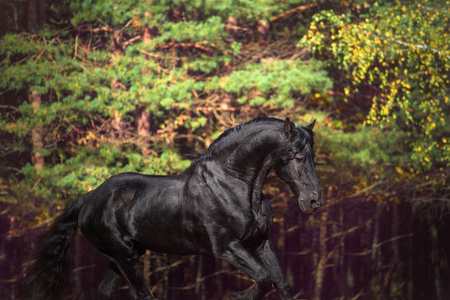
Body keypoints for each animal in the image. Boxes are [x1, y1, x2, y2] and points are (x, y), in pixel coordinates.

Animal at [23, 117, 324, 300]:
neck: (234, 183)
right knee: (141, 294)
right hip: (125, 256)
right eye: (298, 157)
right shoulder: (226, 247)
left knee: (106, 291)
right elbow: (262, 279)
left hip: (123, 256)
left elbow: (280, 283)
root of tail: (89, 198)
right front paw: (237, 296)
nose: (314, 201)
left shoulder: (260, 242)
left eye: (313, 156)